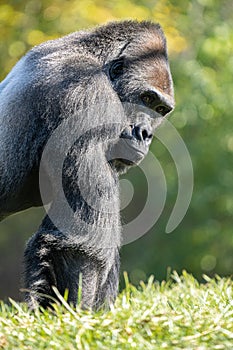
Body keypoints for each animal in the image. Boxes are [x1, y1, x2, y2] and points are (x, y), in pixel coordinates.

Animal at [0, 19, 175, 308]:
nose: (146, 134)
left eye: (161, 110)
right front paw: (77, 314)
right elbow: (81, 245)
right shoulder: (84, 91)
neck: (94, 57)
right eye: (147, 99)